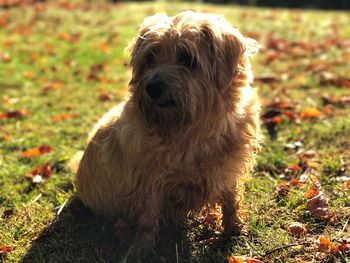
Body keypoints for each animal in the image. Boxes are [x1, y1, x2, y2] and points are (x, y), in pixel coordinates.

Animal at [75, 10, 262, 256]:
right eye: (150, 58)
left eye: (187, 58)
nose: (152, 87)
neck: (192, 129)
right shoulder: (148, 181)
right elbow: (148, 218)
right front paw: (141, 249)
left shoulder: (229, 169)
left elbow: (231, 199)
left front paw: (234, 228)